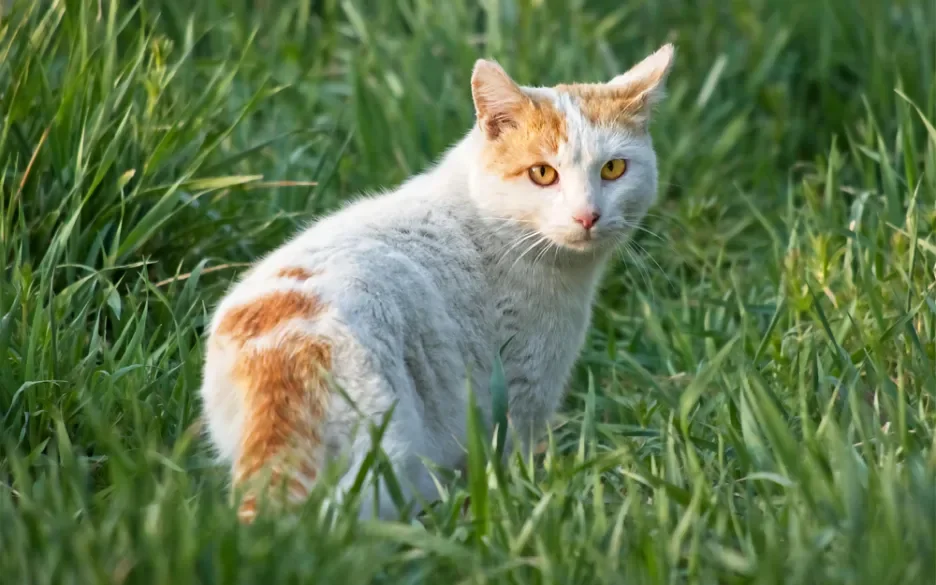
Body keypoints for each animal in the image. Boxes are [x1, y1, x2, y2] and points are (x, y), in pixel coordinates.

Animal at [201, 44, 676, 520]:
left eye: (613, 169)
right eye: (542, 173)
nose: (587, 215)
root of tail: (278, 345)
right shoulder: (520, 390)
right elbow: (512, 463)